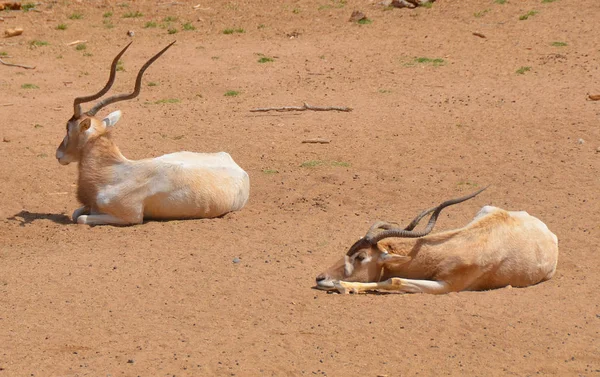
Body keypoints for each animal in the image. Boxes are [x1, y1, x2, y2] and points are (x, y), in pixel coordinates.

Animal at [57, 41, 250, 223]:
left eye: (68, 127)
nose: (58, 154)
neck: (114, 173)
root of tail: (236, 166)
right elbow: (76, 212)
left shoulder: (131, 217)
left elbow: (80, 218)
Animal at [314, 188, 556, 294]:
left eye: (361, 257)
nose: (320, 277)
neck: (452, 249)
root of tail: (548, 233)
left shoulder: (446, 286)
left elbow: (395, 280)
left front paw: (343, 286)